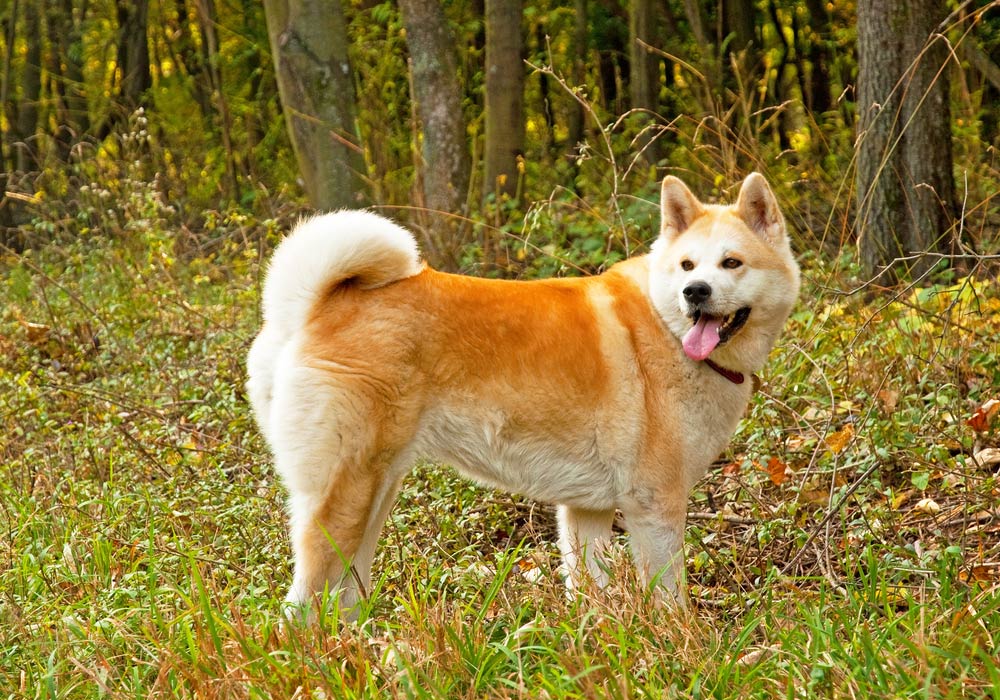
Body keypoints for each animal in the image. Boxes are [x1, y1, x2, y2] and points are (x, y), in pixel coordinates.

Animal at [246, 174, 800, 612]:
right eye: (687, 266)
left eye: (731, 263)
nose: (695, 293)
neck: (664, 325)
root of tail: (317, 306)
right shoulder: (655, 507)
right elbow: (671, 601)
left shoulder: (586, 511)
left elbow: (592, 595)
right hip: (345, 500)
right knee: (301, 608)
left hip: (376, 495)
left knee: (344, 596)